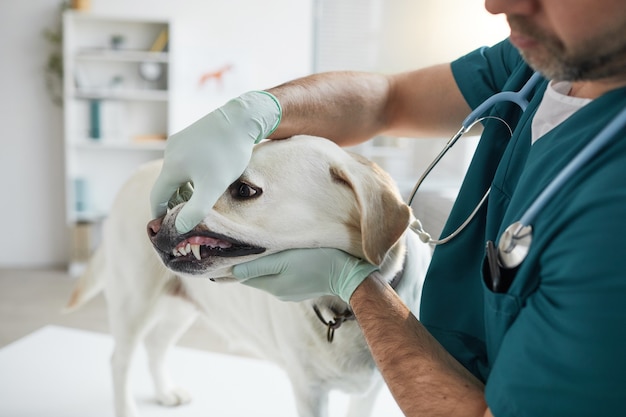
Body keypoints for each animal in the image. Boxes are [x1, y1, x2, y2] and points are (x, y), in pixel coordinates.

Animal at [66, 136, 432, 416]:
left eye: (244, 189)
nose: (152, 228)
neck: (344, 311)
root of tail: (135, 174)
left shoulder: (368, 394)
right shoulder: (309, 391)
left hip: (181, 307)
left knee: (155, 345)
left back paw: (164, 392)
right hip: (134, 303)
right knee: (119, 361)